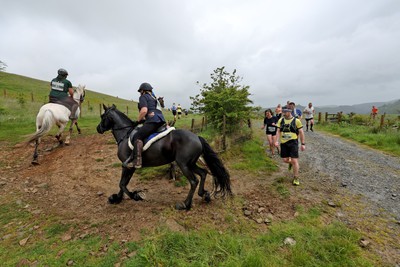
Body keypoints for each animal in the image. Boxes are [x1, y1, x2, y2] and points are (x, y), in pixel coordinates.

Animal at [95, 104, 231, 211]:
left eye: (102, 117)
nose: (98, 128)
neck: (125, 134)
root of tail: (197, 137)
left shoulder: (127, 165)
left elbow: (122, 183)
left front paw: (136, 196)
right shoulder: (128, 167)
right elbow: (123, 183)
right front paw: (117, 198)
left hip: (183, 164)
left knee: (193, 181)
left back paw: (185, 204)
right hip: (190, 163)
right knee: (203, 173)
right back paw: (204, 195)